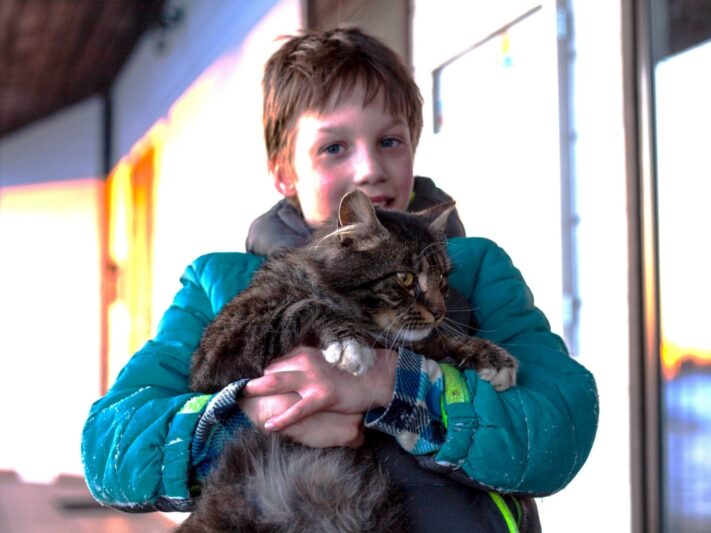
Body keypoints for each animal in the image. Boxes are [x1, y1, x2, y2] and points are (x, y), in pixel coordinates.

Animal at [181, 189, 520, 528]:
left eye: (442, 280)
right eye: (406, 278)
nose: (440, 312)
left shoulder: (407, 342)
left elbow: (441, 342)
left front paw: (490, 357)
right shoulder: (220, 349)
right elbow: (307, 306)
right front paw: (349, 343)